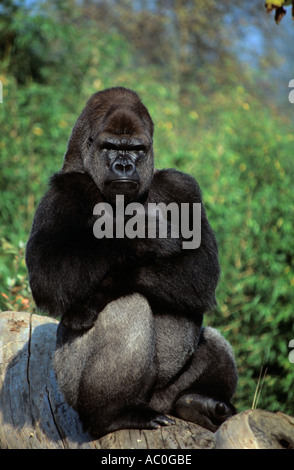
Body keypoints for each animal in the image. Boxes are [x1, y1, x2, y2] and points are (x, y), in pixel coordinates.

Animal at [24, 86, 237, 438]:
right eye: (111, 147)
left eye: (136, 150)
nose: (123, 166)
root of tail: (155, 403)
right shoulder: (63, 190)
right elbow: (48, 274)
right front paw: (137, 230)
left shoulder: (182, 185)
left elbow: (200, 270)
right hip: (68, 385)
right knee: (129, 303)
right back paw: (113, 414)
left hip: (164, 396)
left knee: (214, 342)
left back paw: (198, 402)